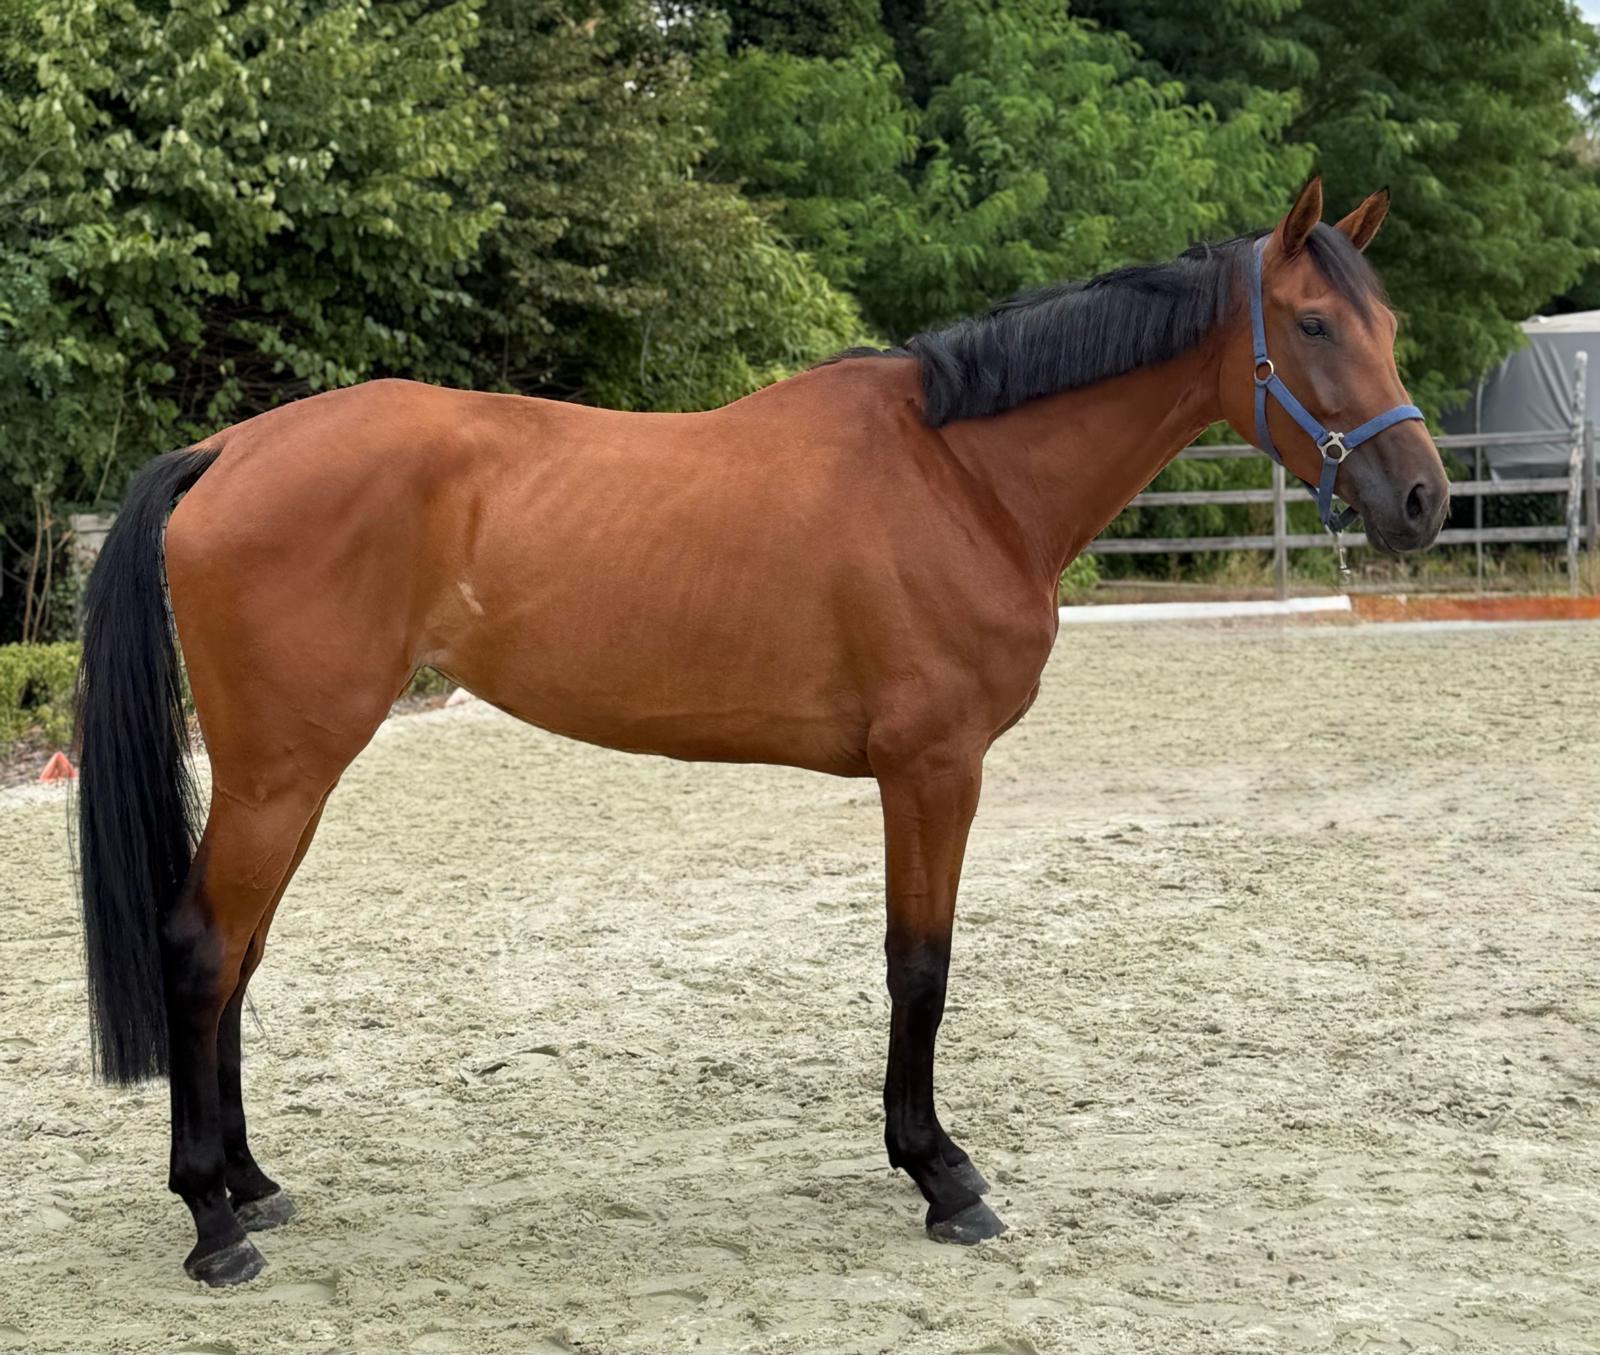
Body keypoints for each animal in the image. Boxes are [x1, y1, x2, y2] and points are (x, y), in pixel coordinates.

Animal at [73, 178, 1448, 1286]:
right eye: (1313, 326)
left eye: (1387, 326)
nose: (1423, 500)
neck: (962, 477)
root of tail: (228, 448)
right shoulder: (931, 768)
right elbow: (919, 966)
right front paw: (941, 1174)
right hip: (281, 770)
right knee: (202, 951)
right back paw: (212, 1223)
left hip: (290, 776)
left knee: (241, 957)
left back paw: (252, 1183)